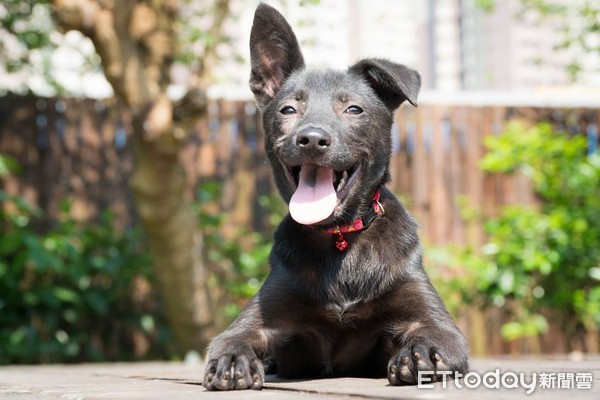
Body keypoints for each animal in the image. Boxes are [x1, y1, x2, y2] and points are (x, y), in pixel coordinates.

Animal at [202, 3, 468, 390]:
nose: (311, 139)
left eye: (353, 109)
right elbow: (233, 337)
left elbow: (434, 334)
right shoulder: (263, 315)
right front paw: (234, 359)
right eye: (288, 110)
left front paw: (420, 355)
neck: (340, 239)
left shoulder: (434, 319)